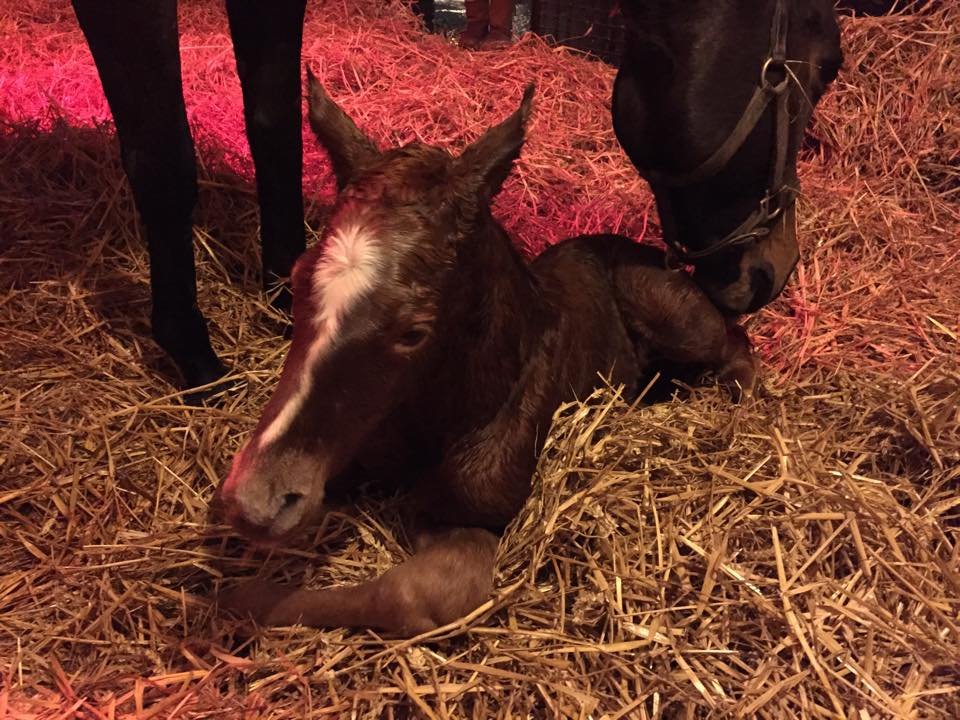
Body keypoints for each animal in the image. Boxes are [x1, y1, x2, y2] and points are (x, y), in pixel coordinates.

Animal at [215, 74, 758, 636]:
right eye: (297, 279)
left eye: (414, 332)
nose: (255, 501)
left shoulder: (478, 516)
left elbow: (414, 594)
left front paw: (240, 598)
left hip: (669, 309)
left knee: (734, 343)